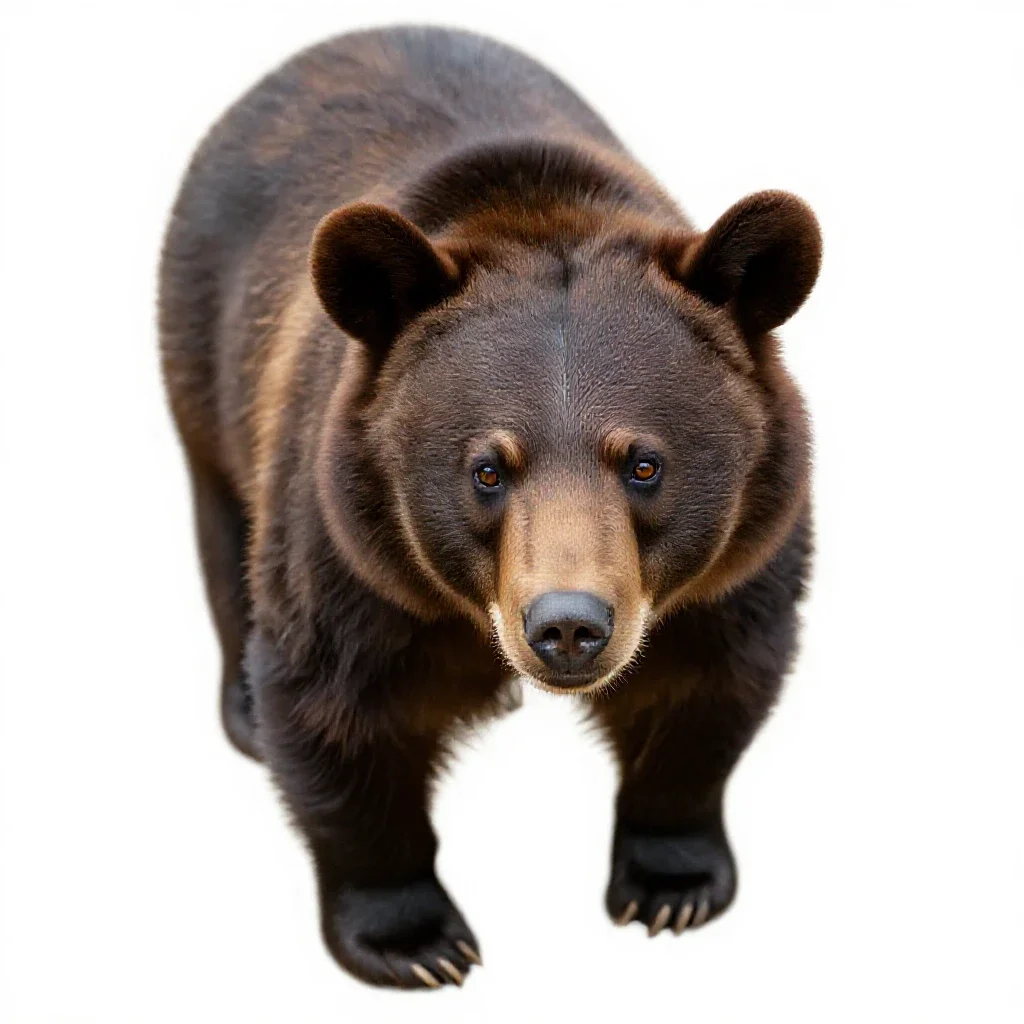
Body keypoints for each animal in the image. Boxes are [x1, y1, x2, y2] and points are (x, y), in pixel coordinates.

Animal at [159, 26, 820, 990]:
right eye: (486, 469)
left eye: (645, 464)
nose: (569, 626)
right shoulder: (351, 545)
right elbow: (333, 709)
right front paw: (414, 939)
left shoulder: (741, 553)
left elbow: (711, 682)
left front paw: (673, 885)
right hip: (205, 367)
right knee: (224, 530)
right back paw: (241, 710)